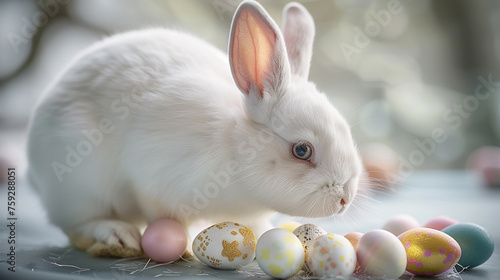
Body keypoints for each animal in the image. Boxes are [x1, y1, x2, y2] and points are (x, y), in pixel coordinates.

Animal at [27, 0, 364, 258]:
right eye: (302, 150)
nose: (344, 199)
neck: (236, 149)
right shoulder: (154, 180)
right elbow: (164, 215)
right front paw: (186, 244)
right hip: (81, 184)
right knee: (77, 223)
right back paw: (117, 233)